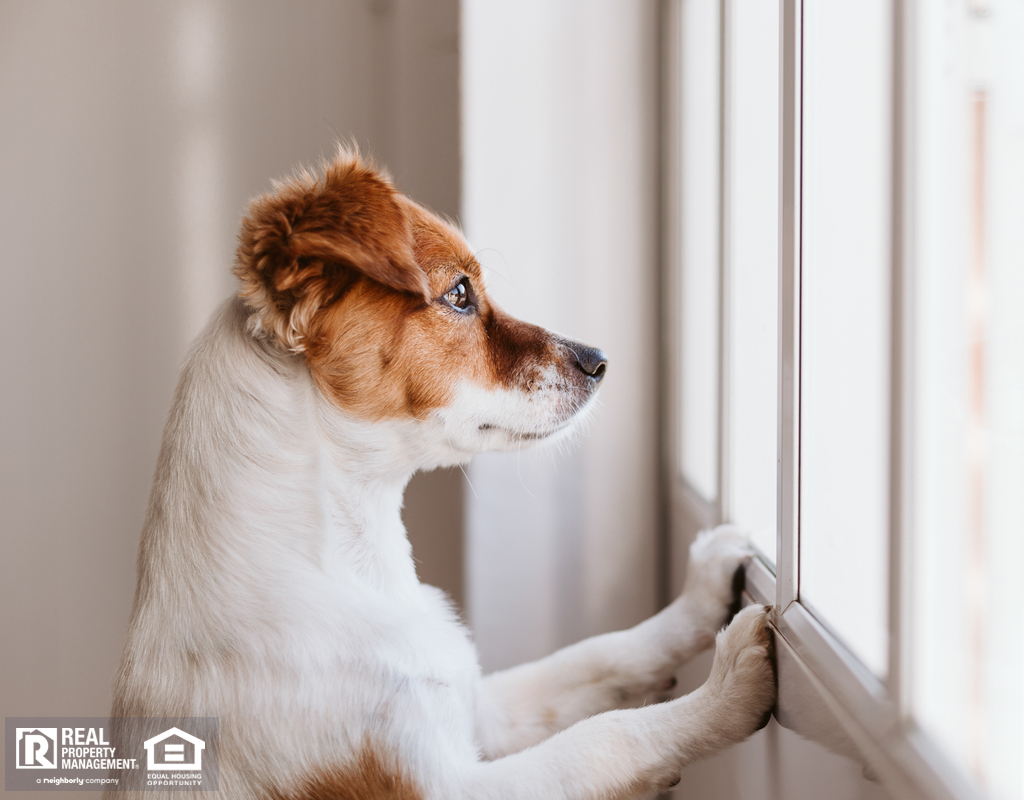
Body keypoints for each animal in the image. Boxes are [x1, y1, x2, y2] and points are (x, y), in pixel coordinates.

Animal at [108, 149, 770, 798]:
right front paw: (725, 691)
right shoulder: (447, 783)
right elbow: (606, 738)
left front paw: (700, 595)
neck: (354, 567)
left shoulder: (480, 708)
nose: (600, 361)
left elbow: (600, 656)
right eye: (458, 294)